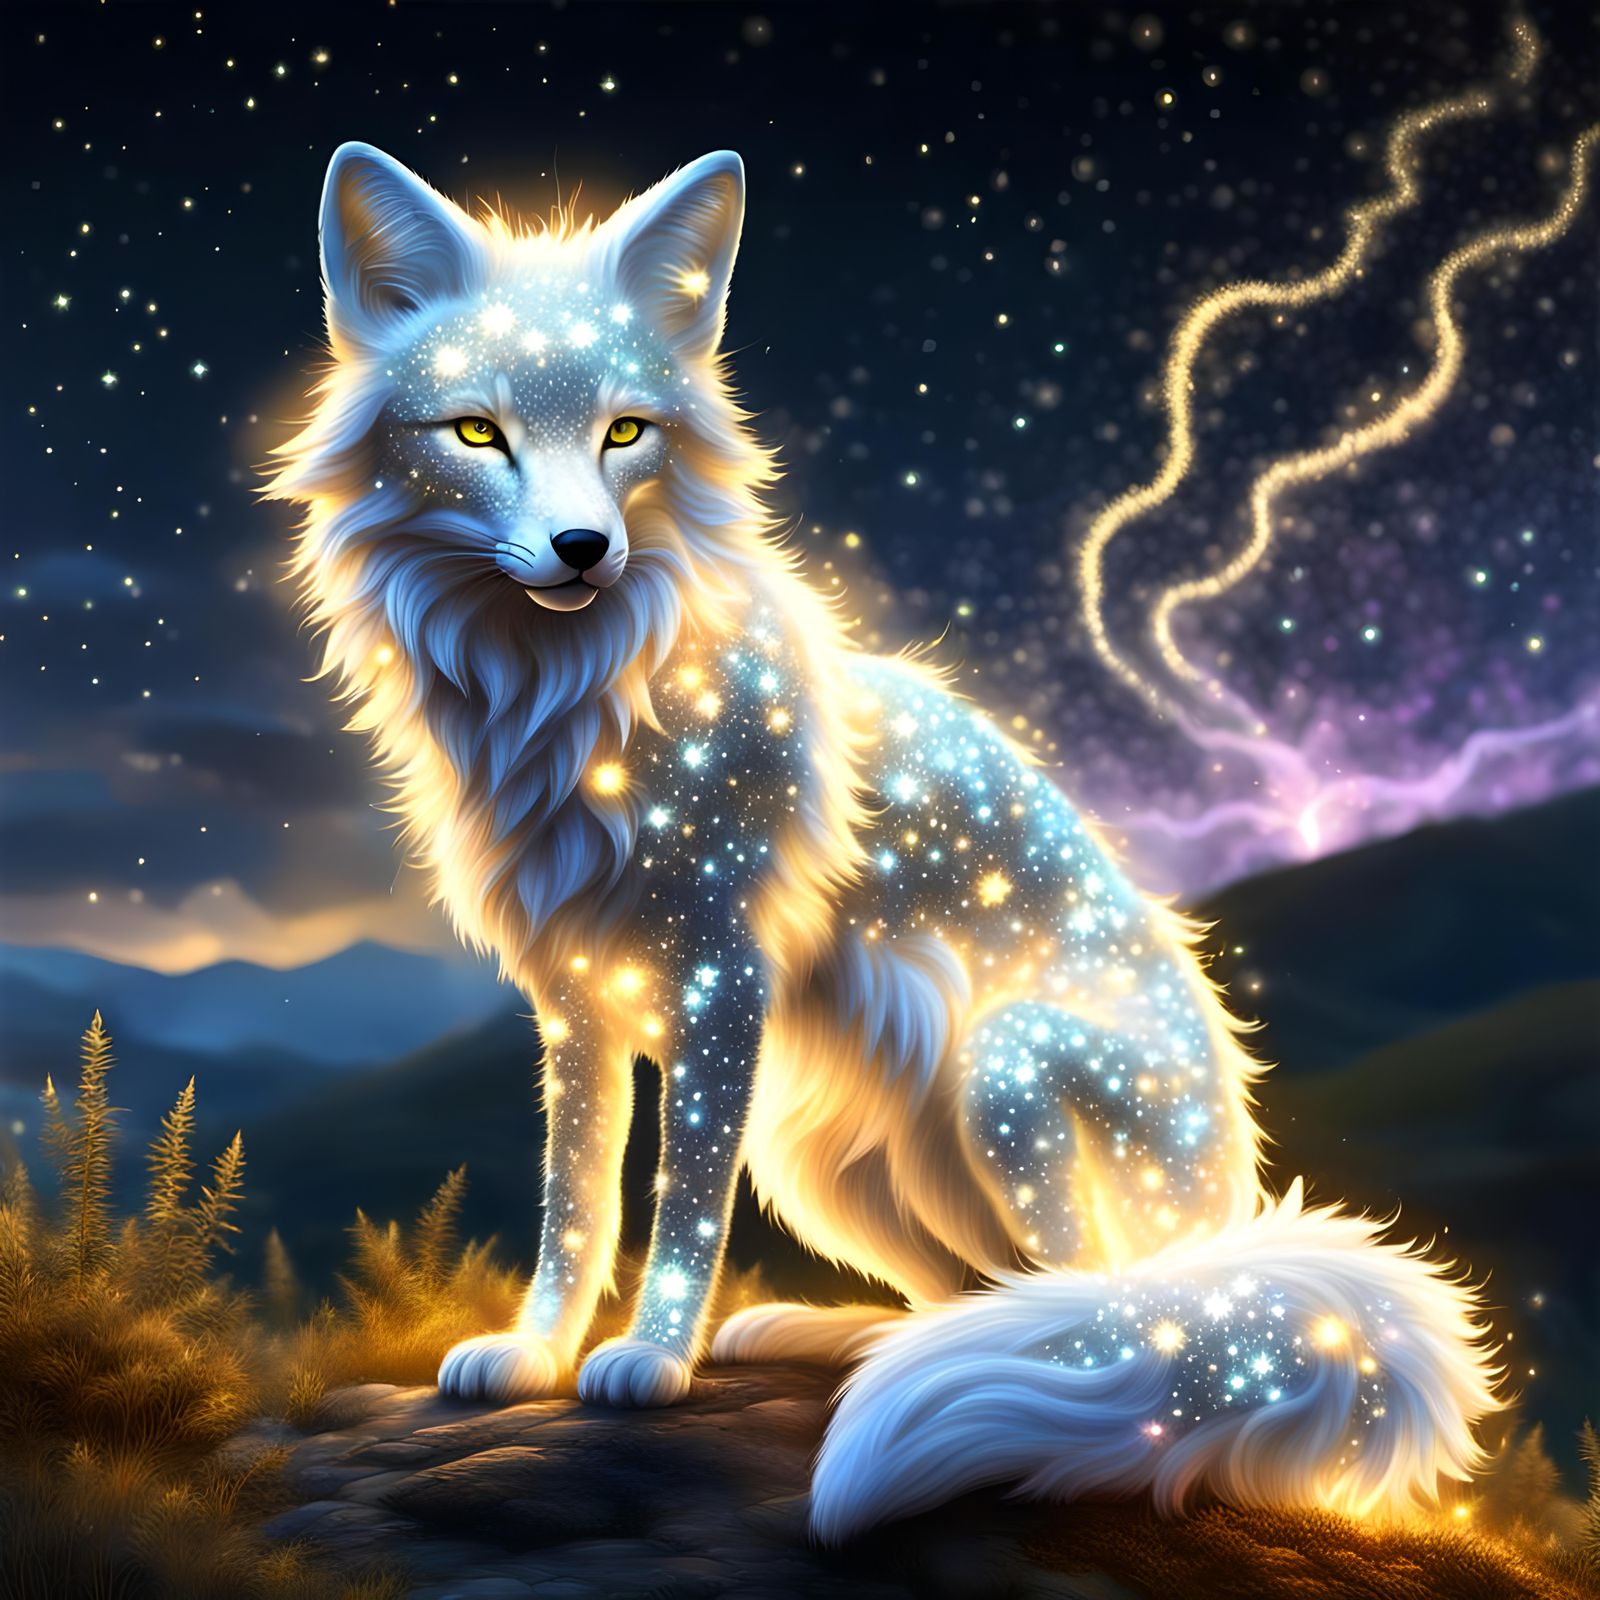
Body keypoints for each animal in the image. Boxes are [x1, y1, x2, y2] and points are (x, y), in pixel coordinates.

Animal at [268, 143, 1499, 1540]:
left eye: (625, 431)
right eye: (478, 431)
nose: (584, 549)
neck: (574, 700)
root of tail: (1236, 1221)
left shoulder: (720, 977)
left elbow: (679, 1201)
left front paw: (645, 1359)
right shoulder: (578, 995)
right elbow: (573, 1199)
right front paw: (535, 1352)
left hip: (1000, 1078)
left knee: (1107, 1323)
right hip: (819, 1159)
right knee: (974, 1301)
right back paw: (841, 1338)